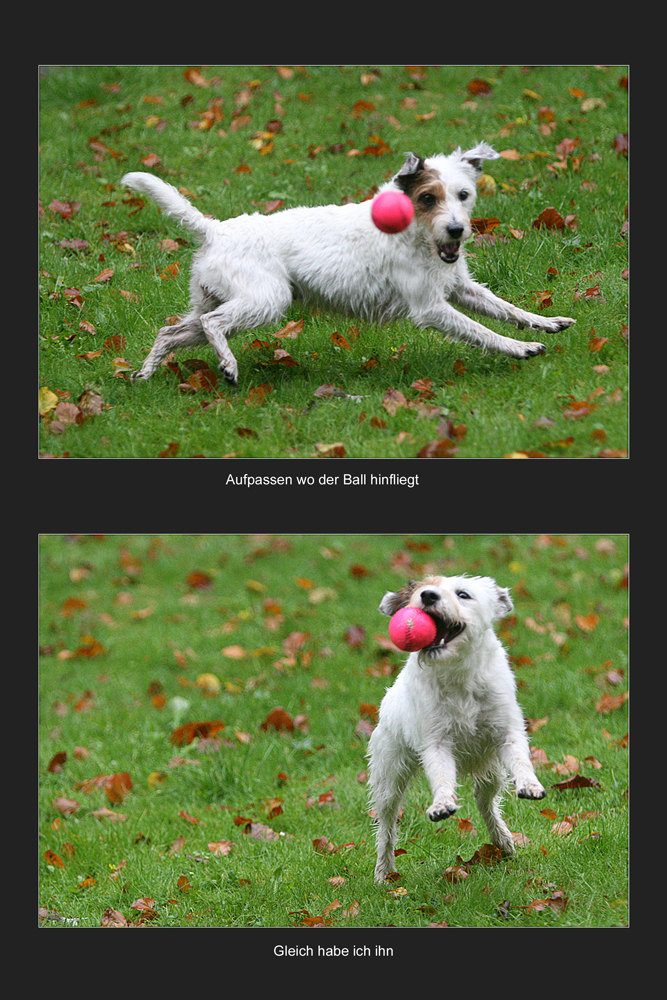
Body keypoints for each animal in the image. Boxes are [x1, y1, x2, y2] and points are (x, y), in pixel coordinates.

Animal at [118, 143, 576, 384]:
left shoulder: (461, 287)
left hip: (215, 301)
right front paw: (519, 348)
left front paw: (547, 322)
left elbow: (506, 309)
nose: (456, 231)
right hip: (266, 299)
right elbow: (483, 331)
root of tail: (214, 230)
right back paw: (227, 365)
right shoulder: (430, 307)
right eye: (428, 197)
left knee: (171, 331)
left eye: (463, 194)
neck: (415, 233)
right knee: (213, 326)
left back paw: (145, 374)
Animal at [366, 576, 548, 880]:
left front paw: (529, 784)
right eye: (420, 591)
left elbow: (521, 759)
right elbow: (441, 777)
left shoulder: (507, 733)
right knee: (387, 825)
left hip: (490, 772)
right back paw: (384, 871)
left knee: (485, 802)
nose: (427, 596)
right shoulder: (436, 744)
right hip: (389, 776)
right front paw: (442, 804)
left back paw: (503, 841)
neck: (457, 672)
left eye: (463, 594)